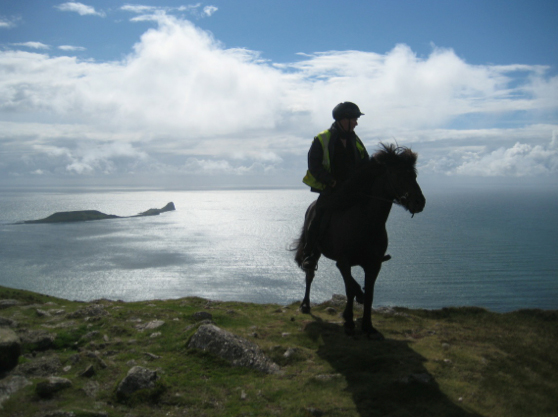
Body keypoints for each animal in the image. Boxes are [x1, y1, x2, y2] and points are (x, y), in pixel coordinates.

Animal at [296, 143, 426, 338]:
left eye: (414, 175)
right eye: (399, 175)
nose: (419, 202)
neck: (366, 222)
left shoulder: (374, 264)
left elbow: (369, 292)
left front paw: (367, 325)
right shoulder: (343, 263)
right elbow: (351, 288)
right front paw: (349, 321)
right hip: (315, 250)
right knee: (310, 274)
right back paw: (305, 305)